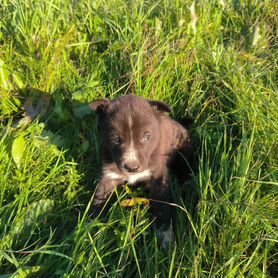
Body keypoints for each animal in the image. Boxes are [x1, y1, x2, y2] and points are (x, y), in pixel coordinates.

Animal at [90, 95, 192, 245]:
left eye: (146, 137)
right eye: (115, 138)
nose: (131, 167)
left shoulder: (157, 178)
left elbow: (161, 208)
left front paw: (165, 237)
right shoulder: (109, 175)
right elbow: (98, 198)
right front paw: (90, 227)